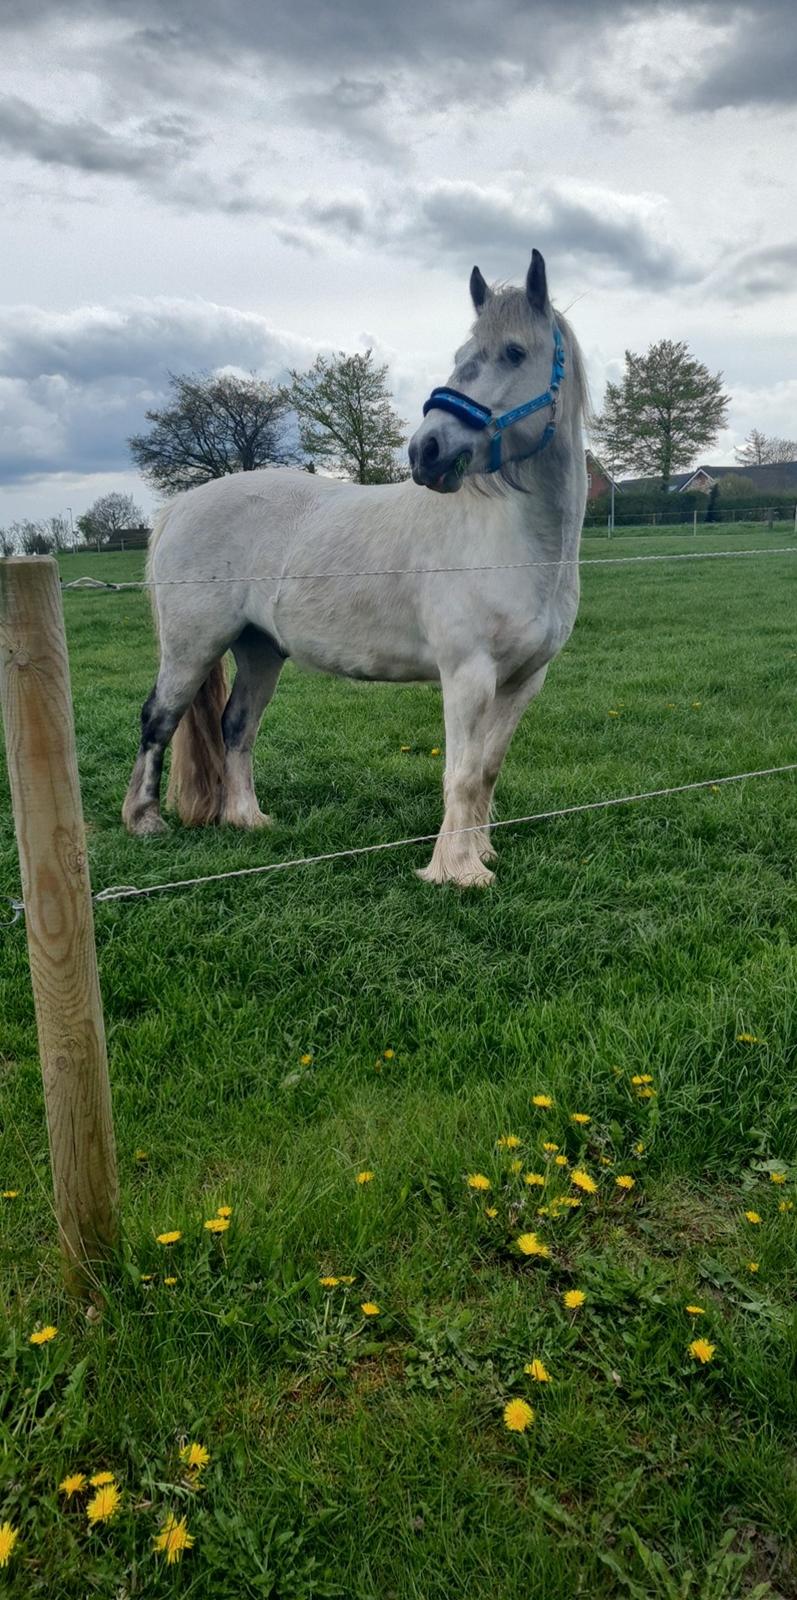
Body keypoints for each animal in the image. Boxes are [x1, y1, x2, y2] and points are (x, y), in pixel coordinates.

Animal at [123, 256, 585, 896]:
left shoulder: (524, 680)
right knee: (159, 719)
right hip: (192, 646)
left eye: (514, 352)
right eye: (462, 352)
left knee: (236, 725)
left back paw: (248, 819)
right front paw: (456, 871)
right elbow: (462, 774)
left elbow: (488, 771)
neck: (518, 547)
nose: (426, 451)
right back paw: (144, 821)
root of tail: (178, 507)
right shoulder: (467, 675)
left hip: (260, 649)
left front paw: (481, 853)